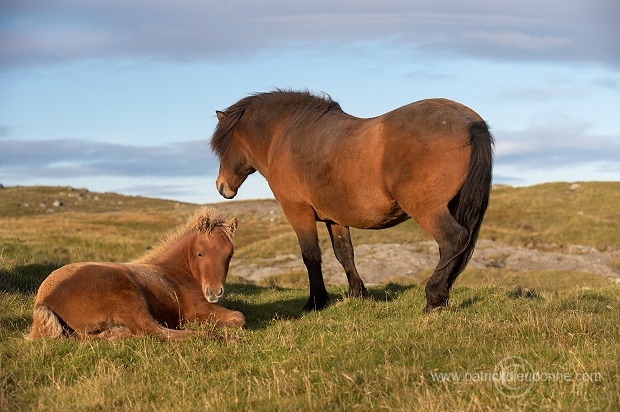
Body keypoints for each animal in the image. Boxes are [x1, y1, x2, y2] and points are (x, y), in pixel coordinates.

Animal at [27, 208, 245, 340]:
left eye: (229, 254)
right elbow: (239, 317)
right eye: (200, 253)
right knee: (155, 331)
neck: (178, 274)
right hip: (128, 298)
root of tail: (44, 301)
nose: (214, 292)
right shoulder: (198, 308)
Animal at [211, 89, 492, 308]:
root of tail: (470, 121)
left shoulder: (297, 211)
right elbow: (344, 253)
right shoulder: (335, 217)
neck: (288, 135)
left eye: (224, 147)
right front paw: (358, 293)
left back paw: (434, 297)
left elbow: (311, 255)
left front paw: (315, 301)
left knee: (453, 240)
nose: (222, 187)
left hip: (427, 210)